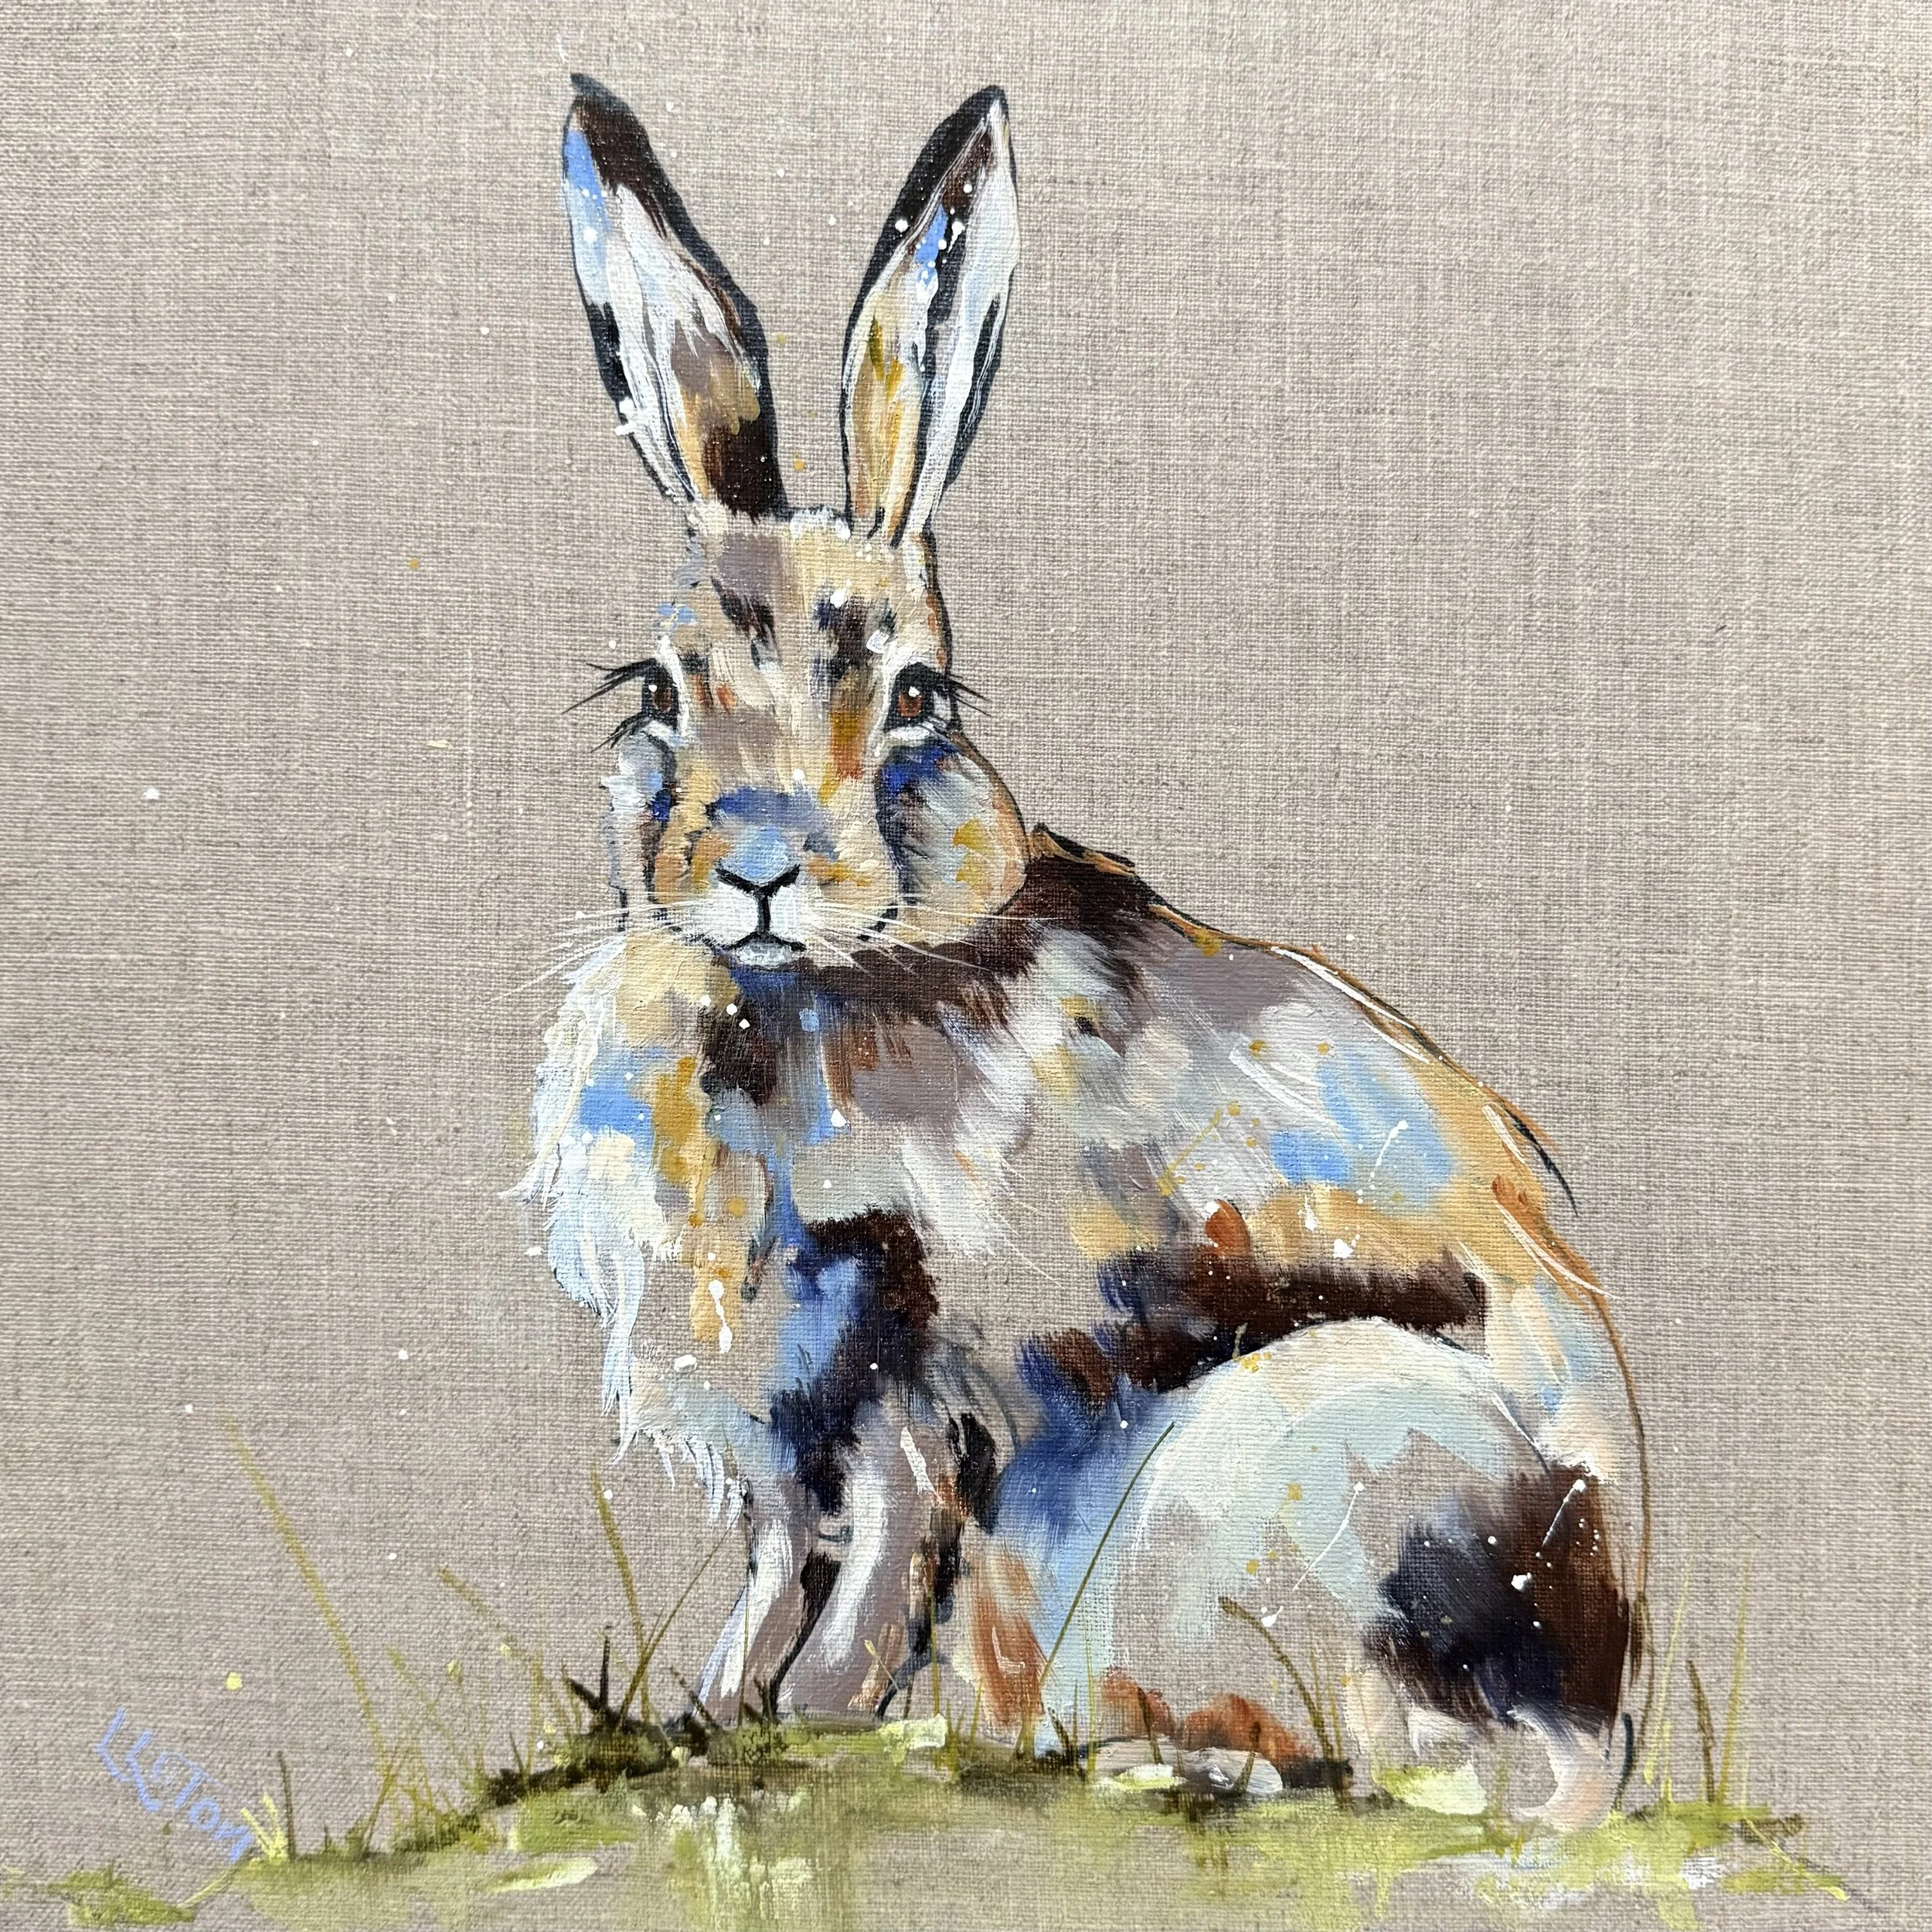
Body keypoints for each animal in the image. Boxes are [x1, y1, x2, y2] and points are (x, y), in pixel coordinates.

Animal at [522, 74, 1650, 1830]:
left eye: (916, 699)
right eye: (656, 688)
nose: (761, 865)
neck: (807, 986)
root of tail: (1610, 1706)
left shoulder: (914, 1370)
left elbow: (879, 1564)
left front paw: (822, 1725)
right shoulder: (787, 1422)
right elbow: (778, 1571)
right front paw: (708, 1717)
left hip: (1323, 1466)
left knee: (1405, 1767)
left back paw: (1167, 1755)